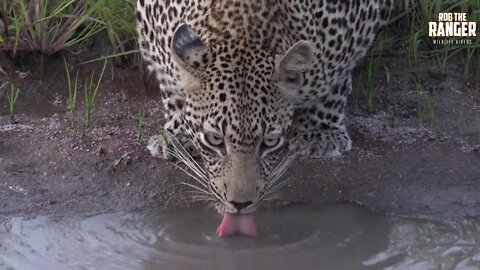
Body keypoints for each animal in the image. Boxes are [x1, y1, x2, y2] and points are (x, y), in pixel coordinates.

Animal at [137, 0, 392, 215]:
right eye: (215, 139)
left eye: (270, 142)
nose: (240, 205)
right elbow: (172, 89)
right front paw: (176, 135)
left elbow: (335, 84)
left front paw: (321, 133)